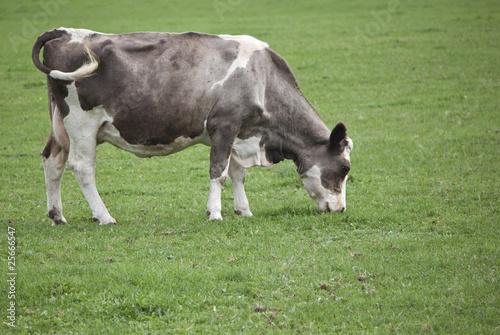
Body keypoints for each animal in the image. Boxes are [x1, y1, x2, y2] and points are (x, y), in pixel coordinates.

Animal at [31, 28, 354, 226]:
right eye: (344, 168)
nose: (340, 209)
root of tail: (66, 33)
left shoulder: (239, 132)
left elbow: (238, 174)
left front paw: (244, 210)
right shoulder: (224, 125)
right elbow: (219, 173)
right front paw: (215, 213)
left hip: (61, 125)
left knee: (52, 160)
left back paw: (57, 215)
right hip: (82, 124)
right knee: (82, 167)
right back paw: (104, 216)